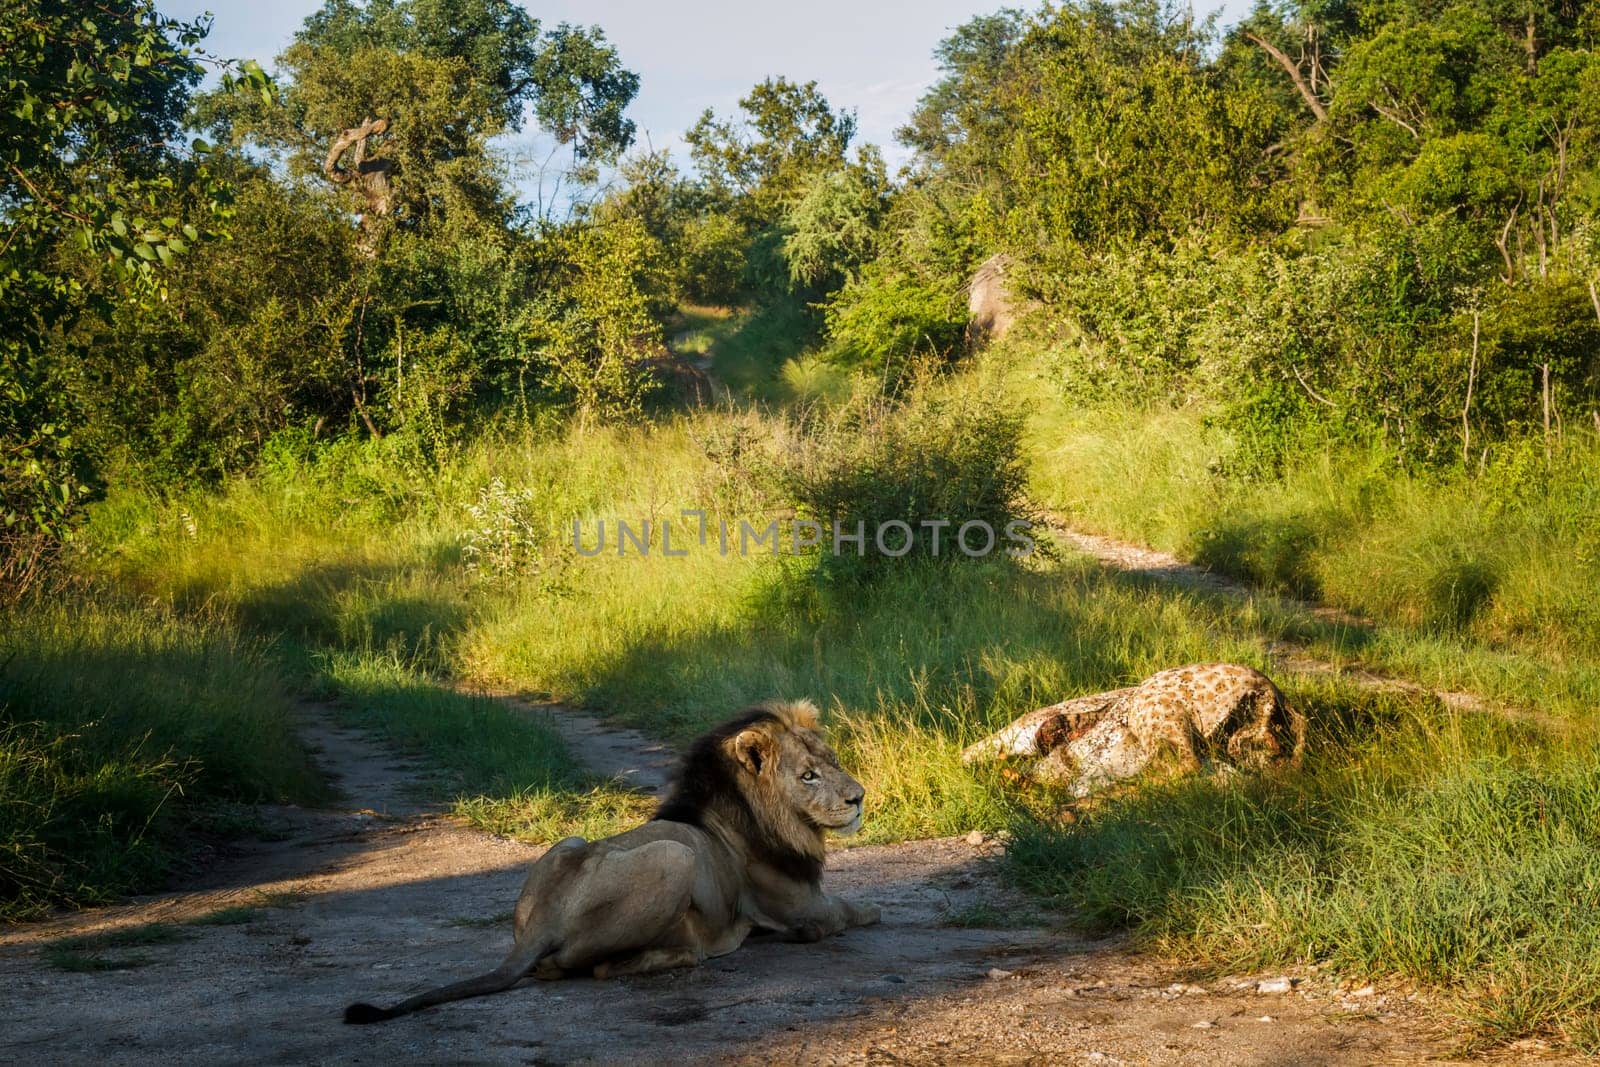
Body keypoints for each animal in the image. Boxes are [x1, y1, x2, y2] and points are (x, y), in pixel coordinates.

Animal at [342, 700, 883, 1023]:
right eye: (808, 775)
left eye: (834, 762)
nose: (858, 798)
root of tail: (545, 917)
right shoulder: (799, 904)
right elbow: (855, 909)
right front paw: (864, 913)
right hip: (674, 856)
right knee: (593, 968)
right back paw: (686, 953)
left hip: (571, 841)